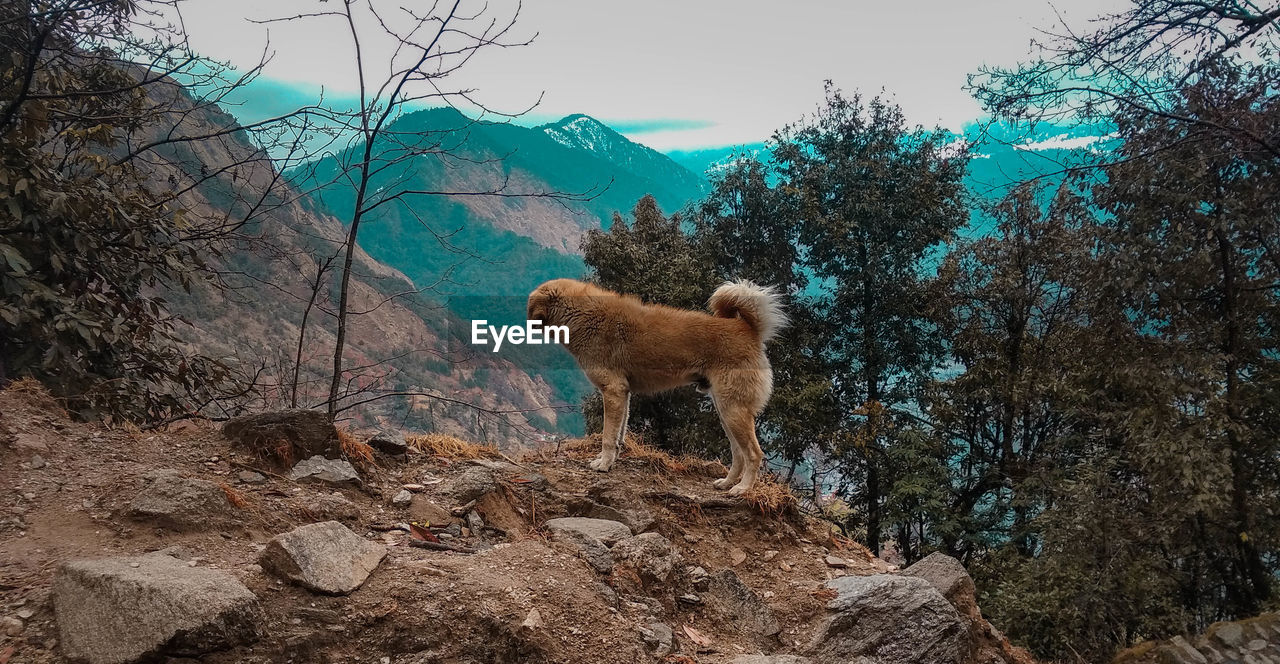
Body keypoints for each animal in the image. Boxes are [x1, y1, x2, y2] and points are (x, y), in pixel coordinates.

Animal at [524, 277, 783, 496]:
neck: (583, 315)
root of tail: (747, 329)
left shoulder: (613, 391)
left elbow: (608, 436)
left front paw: (603, 464)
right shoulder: (623, 394)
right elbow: (617, 437)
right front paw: (610, 462)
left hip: (733, 411)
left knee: (753, 454)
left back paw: (743, 489)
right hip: (726, 410)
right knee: (738, 453)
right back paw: (728, 482)